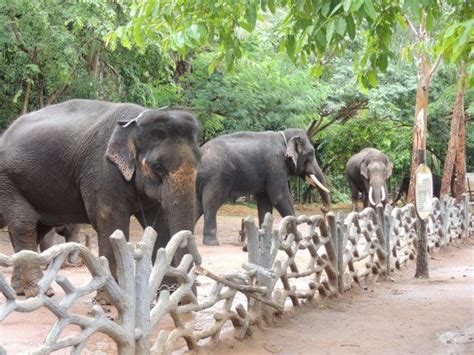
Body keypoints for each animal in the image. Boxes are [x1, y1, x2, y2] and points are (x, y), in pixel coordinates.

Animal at [0, 100, 200, 300]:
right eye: (157, 165)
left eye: (198, 161)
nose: (189, 297)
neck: (134, 122)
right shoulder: (102, 172)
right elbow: (111, 223)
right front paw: (110, 300)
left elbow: (162, 226)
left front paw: (168, 296)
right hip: (7, 181)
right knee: (24, 224)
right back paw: (37, 291)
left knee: (36, 229)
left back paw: (21, 290)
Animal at [195, 129, 330, 246]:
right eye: (311, 153)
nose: (323, 209)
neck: (284, 135)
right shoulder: (276, 165)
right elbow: (279, 197)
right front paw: (298, 237)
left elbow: (264, 202)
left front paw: (265, 240)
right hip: (216, 176)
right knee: (211, 204)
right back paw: (212, 243)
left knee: (197, 205)